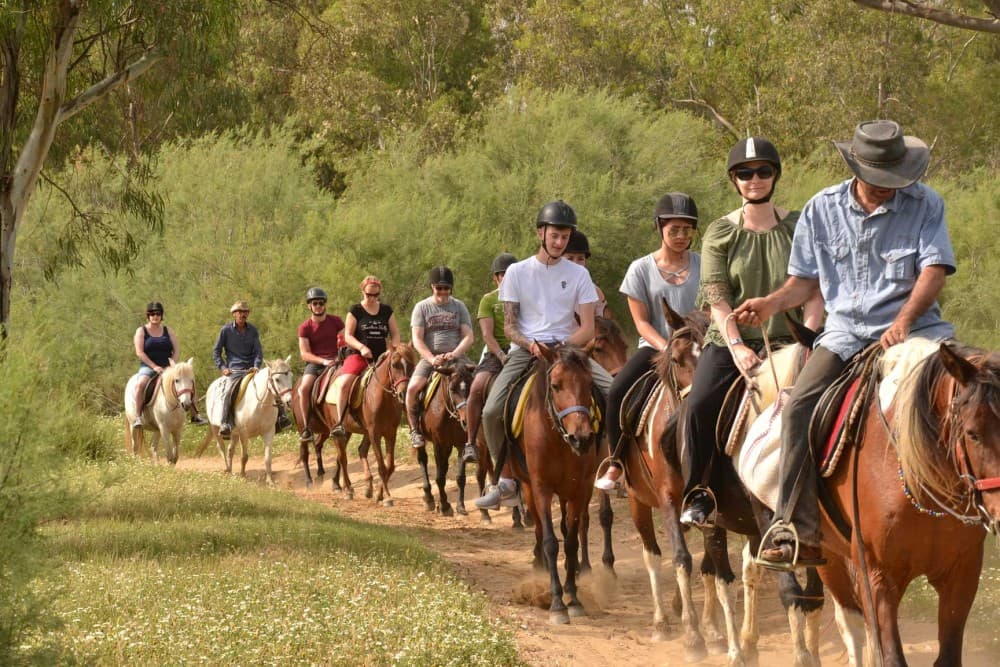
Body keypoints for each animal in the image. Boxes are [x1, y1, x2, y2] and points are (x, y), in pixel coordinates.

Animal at [300, 343, 417, 505]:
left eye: (413, 364)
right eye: (394, 365)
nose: (404, 394)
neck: (382, 397)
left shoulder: (390, 433)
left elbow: (390, 466)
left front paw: (379, 494)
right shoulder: (374, 433)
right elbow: (381, 467)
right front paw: (387, 497)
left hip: (352, 431)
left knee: (358, 451)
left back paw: (364, 488)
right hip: (336, 431)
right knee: (342, 458)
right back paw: (347, 490)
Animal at [415, 360, 477, 516]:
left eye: (471, 386)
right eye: (452, 389)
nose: (467, 421)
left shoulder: (461, 444)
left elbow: (460, 477)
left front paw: (460, 506)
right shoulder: (439, 444)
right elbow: (440, 478)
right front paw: (444, 506)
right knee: (423, 460)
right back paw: (429, 499)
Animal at [508, 344, 600, 624]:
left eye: (589, 383)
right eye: (556, 385)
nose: (581, 438)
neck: (559, 440)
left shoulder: (579, 490)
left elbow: (570, 542)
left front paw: (574, 598)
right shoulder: (542, 489)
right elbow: (550, 541)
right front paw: (557, 603)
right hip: (528, 488)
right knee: (539, 529)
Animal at [805, 340, 999, 666]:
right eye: (972, 433)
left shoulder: (963, 574)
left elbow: (947, 656)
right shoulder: (879, 579)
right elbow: (892, 656)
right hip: (828, 558)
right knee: (852, 626)